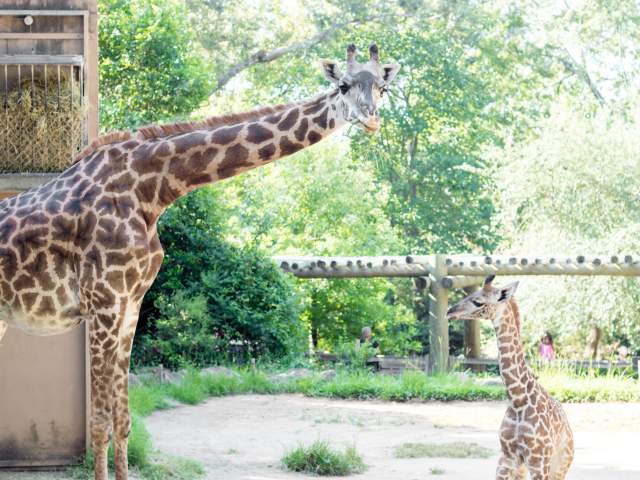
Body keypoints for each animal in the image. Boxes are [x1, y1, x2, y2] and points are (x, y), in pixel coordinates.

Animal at [0, 43, 400, 480]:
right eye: (343, 85)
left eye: (382, 86)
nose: (371, 119)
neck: (152, 189)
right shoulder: (103, 304)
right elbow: (100, 420)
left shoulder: (130, 306)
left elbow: (123, 420)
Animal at [446, 275, 574, 480]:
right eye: (471, 295)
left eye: (478, 301)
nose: (450, 311)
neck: (517, 398)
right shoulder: (507, 457)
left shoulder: (539, 462)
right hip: (524, 468)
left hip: (559, 466)